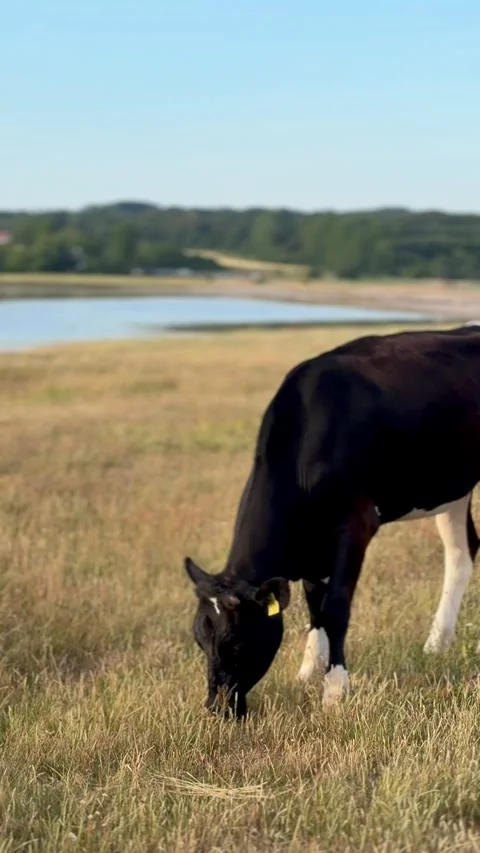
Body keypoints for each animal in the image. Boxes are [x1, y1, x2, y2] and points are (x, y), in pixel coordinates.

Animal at [184, 324, 480, 718]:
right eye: (199, 640)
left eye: (235, 642)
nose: (216, 709)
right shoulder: (314, 544)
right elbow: (315, 605)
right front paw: (309, 670)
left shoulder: (355, 526)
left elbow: (336, 607)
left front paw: (335, 689)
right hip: (453, 487)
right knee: (461, 554)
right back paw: (437, 643)